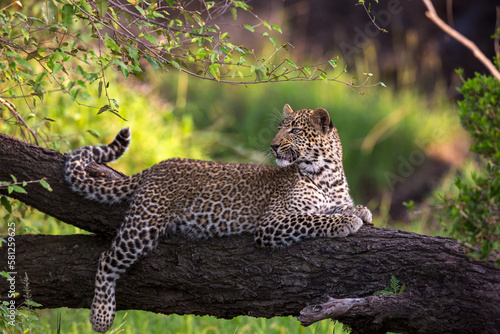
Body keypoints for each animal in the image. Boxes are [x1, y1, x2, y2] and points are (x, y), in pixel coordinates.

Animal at [64, 103, 372, 332]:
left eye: (295, 130)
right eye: (279, 130)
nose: (273, 146)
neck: (327, 174)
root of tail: (158, 165)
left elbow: (335, 207)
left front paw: (360, 211)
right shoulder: (272, 222)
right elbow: (313, 219)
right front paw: (347, 222)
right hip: (142, 227)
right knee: (106, 259)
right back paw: (101, 316)